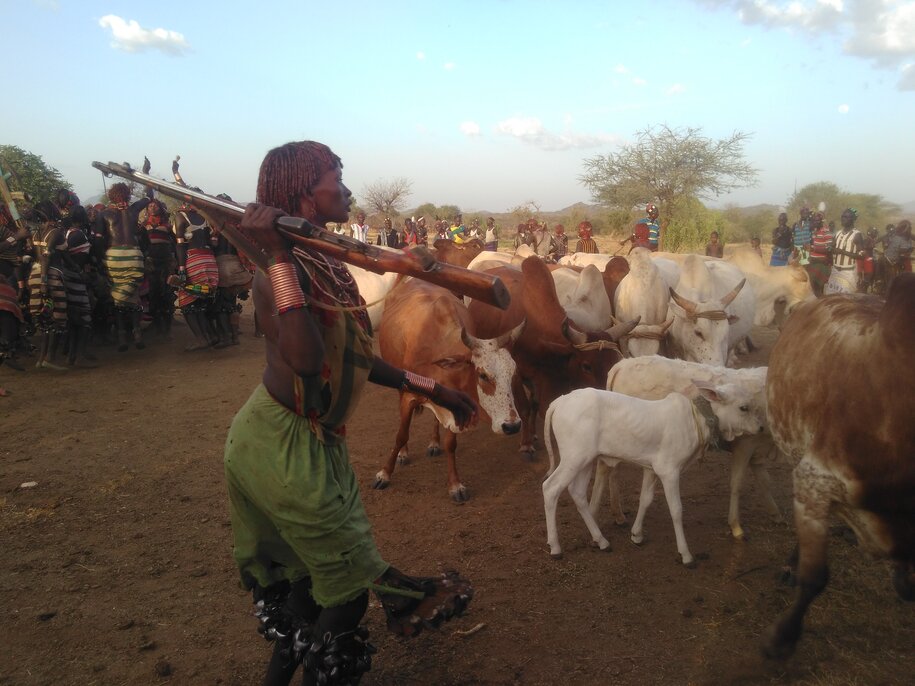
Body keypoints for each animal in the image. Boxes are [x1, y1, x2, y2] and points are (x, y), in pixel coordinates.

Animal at [374, 276, 524, 502]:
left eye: (512, 372)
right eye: (483, 375)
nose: (512, 426)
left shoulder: (457, 404)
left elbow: (451, 444)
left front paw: (455, 485)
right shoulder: (409, 396)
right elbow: (401, 434)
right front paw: (385, 473)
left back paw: (434, 443)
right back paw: (404, 453)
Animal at [466, 256, 636, 456]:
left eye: (614, 364)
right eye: (586, 366)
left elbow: (535, 404)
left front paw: (533, 435)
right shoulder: (515, 373)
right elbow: (524, 408)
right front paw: (526, 443)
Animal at [544, 384, 764, 568]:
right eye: (744, 408)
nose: (760, 427)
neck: (696, 421)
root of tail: (560, 401)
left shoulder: (651, 469)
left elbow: (645, 499)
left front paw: (636, 535)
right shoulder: (670, 471)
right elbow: (676, 510)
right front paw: (686, 555)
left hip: (585, 460)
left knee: (578, 493)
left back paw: (602, 541)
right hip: (574, 457)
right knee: (550, 488)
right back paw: (555, 547)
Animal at [596, 358, 784, 540]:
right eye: (744, 408)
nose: (760, 427)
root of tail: (621, 365)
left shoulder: (758, 451)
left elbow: (765, 481)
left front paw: (776, 513)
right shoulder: (745, 444)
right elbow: (737, 484)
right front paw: (736, 526)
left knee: (610, 471)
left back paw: (617, 514)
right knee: (606, 470)